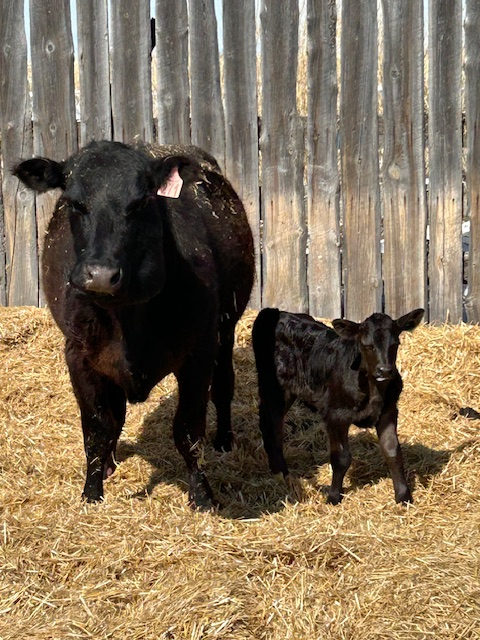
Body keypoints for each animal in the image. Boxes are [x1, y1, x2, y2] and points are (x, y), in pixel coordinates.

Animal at [14, 140, 254, 508]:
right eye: (75, 203)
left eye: (140, 202)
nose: (100, 274)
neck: (128, 319)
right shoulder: (79, 355)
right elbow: (97, 428)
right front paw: (92, 492)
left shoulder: (199, 352)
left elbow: (188, 430)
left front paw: (202, 496)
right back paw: (109, 464)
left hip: (226, 328)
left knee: (224, 385)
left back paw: (225, 440)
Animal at [252, 307, 424, 505]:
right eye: (367, 345)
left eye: (395, 344)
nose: (385, 370)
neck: (373, 389)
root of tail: (275, 311)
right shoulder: (335, 415)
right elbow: (341, 458)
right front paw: (333, 497)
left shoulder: (388, 411)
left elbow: (392, 451)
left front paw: (403, 496)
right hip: (274, 388)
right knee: (272, 425)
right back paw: (282, 472)